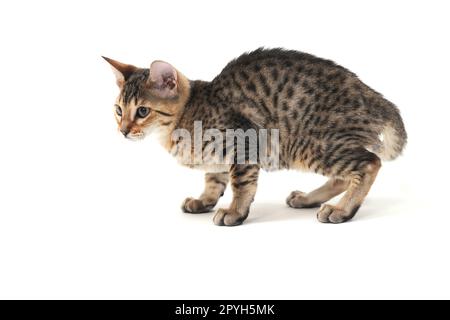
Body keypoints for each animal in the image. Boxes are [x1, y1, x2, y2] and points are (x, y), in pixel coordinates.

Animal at [103, 48, 406, 226]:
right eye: (118, 110)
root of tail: (375, 97)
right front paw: (204, 201)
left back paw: (341, 210)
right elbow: (213, 180)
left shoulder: (245, 142)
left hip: (311, 144)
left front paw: (235, 211)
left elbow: (241, 184)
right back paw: (308, 198)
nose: (123, 130)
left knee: (369, 163)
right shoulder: (217, 158)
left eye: (142, 111)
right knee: (345, 175)